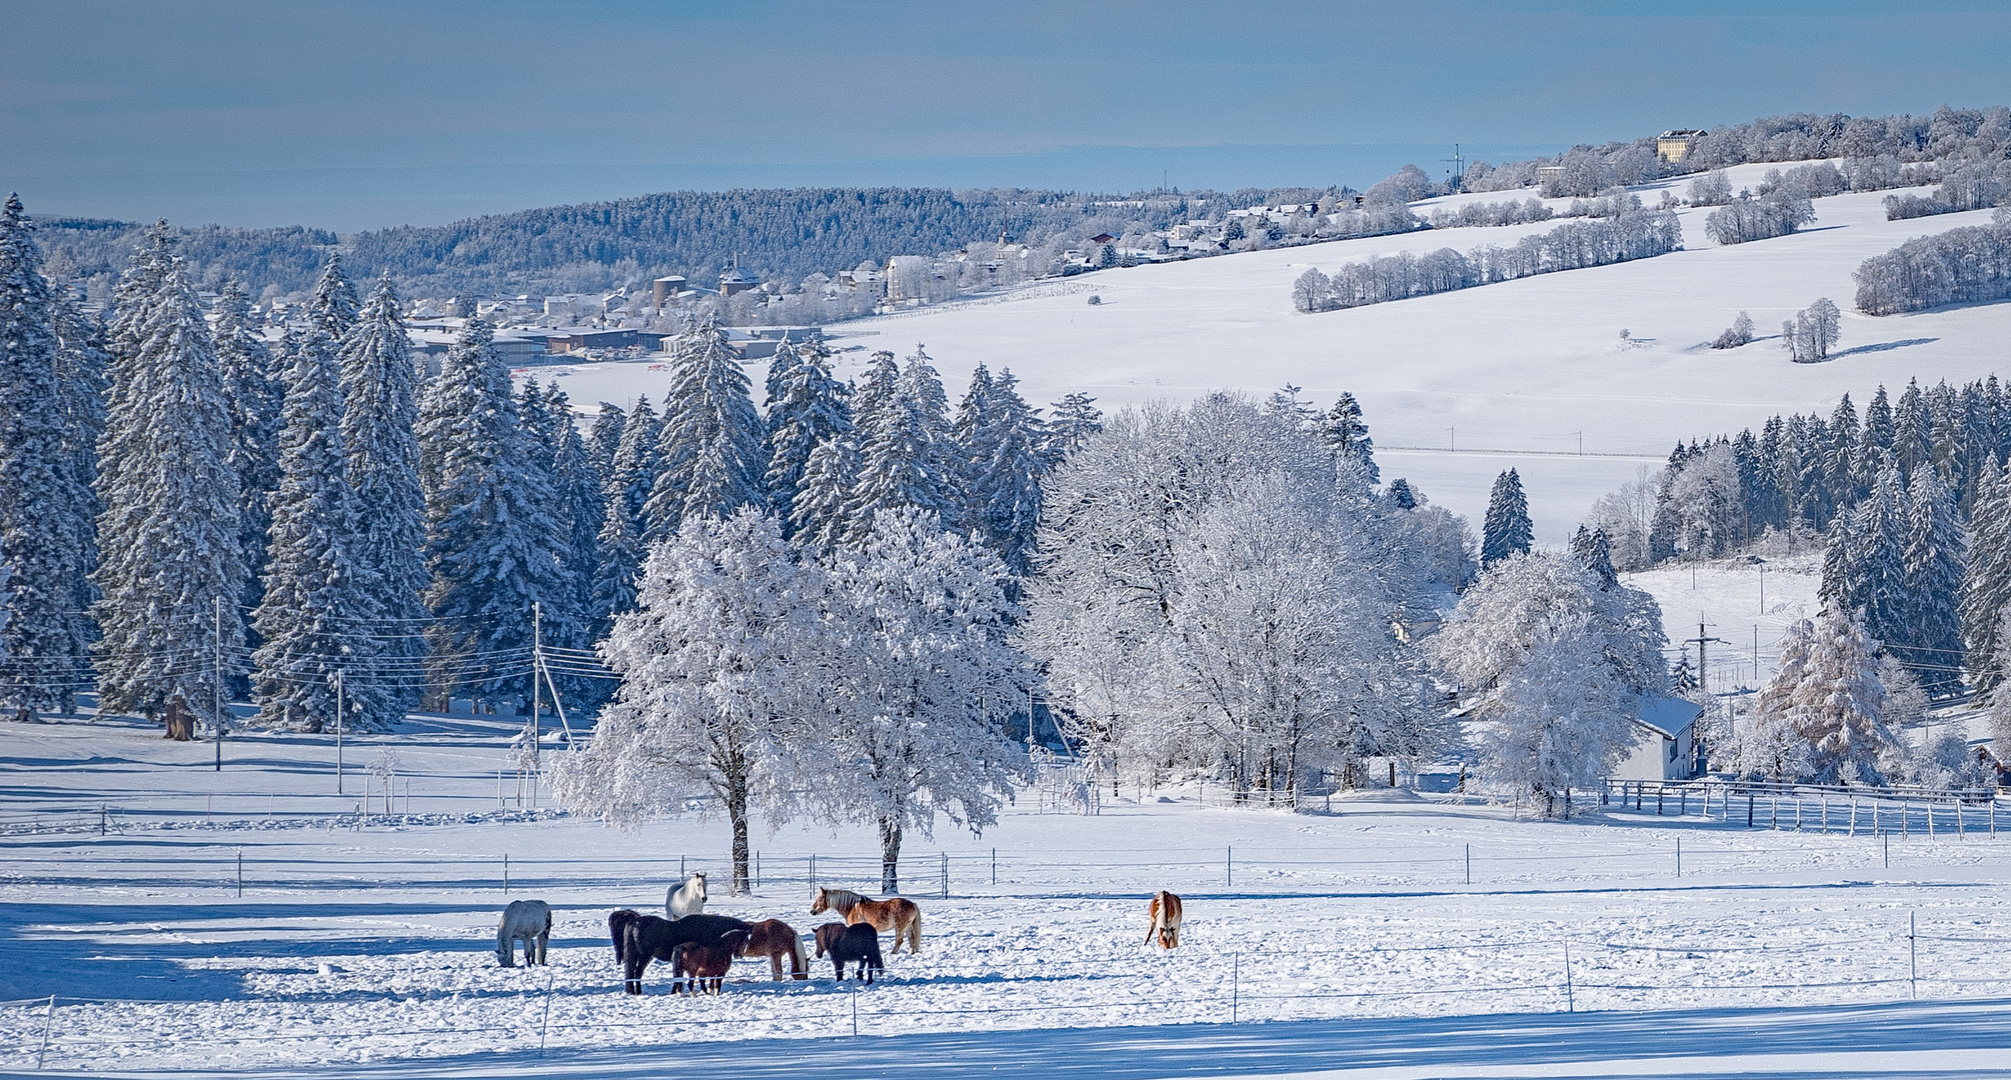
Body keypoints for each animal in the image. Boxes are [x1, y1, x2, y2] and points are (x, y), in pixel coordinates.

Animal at [615, 909, 752, 993]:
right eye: (745, 939)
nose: (739, 955)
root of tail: (634, 923)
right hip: (645, 955)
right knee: (637, 972)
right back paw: (638, 992)